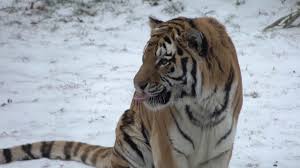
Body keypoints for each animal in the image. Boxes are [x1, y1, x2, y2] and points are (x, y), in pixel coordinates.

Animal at [0, 16, 243, 168]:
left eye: (164, 61)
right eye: (144, 57)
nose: (137, 85)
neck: (203, 105)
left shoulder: (219, 153)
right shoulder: (168, 149)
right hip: (129, 133)